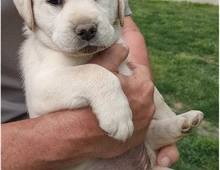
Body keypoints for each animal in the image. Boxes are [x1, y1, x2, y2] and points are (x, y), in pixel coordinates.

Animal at [13, 0, 203, 169]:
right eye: (54, 1)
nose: (86, 30)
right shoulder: (40, 86)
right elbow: (94, 71)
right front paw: (118, 115)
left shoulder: (128, 61)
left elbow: (156, 93)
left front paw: (167, 112)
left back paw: (184, 121)